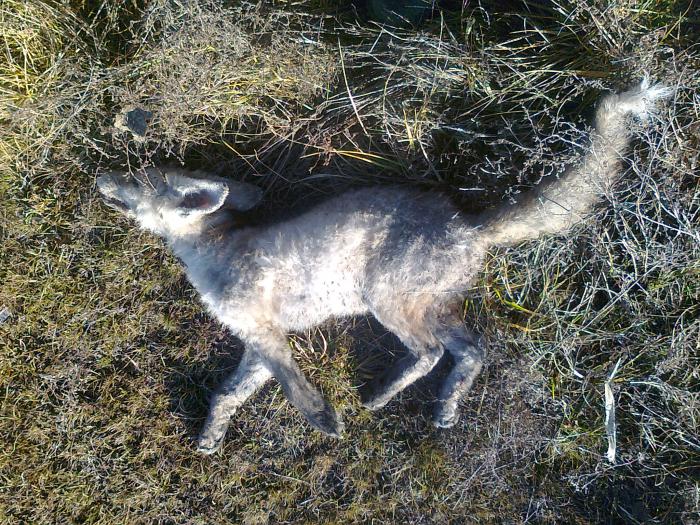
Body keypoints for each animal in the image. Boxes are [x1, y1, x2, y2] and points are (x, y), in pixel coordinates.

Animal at [97, 79, 669, 454]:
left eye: (137, 179)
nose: (101, 175)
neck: (214, 251)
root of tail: (469, 226)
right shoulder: (257, 339)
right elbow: (228, 394)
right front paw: (210, 437)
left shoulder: (265, 332)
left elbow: (290, 385)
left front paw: (323, 418)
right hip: (432, 304)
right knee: (471, 350)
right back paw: (444, 408)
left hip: (386, 299)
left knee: (431, 352)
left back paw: (378, 397)